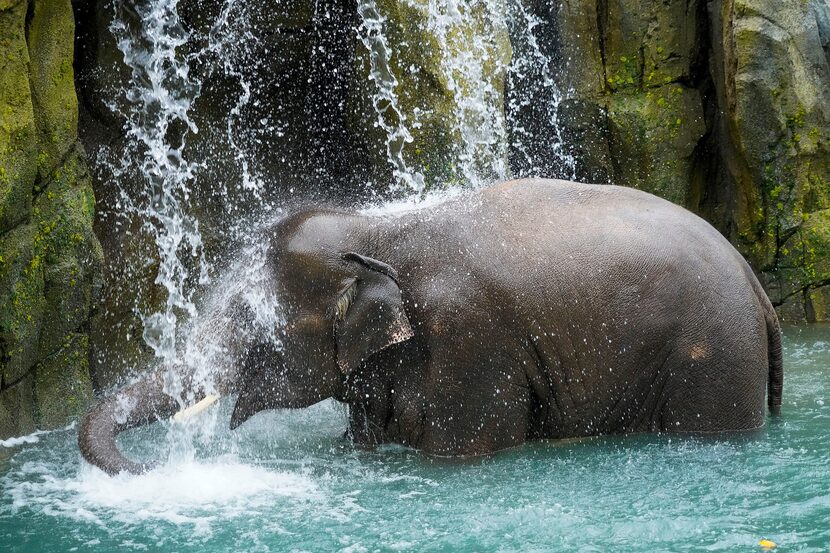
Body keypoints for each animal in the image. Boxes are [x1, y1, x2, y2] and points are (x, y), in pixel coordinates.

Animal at [76, 180, 780, 474]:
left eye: (253, 320)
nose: (157, 467)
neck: (379, 230)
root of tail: (758, 288)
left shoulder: (472, 340)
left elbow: (460, 448)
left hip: (713, 355)